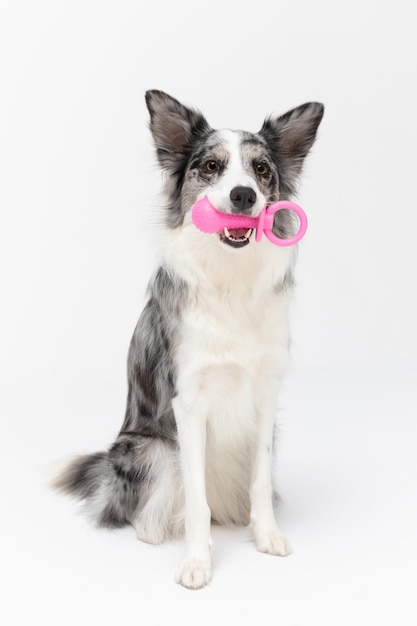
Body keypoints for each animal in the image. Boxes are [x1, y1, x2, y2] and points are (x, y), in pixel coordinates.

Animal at [54, 90, 322, 588]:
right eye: (212, 166)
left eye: (261, 169)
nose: (243, 194)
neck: (230, 276)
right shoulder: (189, 403)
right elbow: (197, 501)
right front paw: (197, 562)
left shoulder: (265, 397)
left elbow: (259, 481)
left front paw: (267, 536)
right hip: (147, 448)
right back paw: (152, 529)